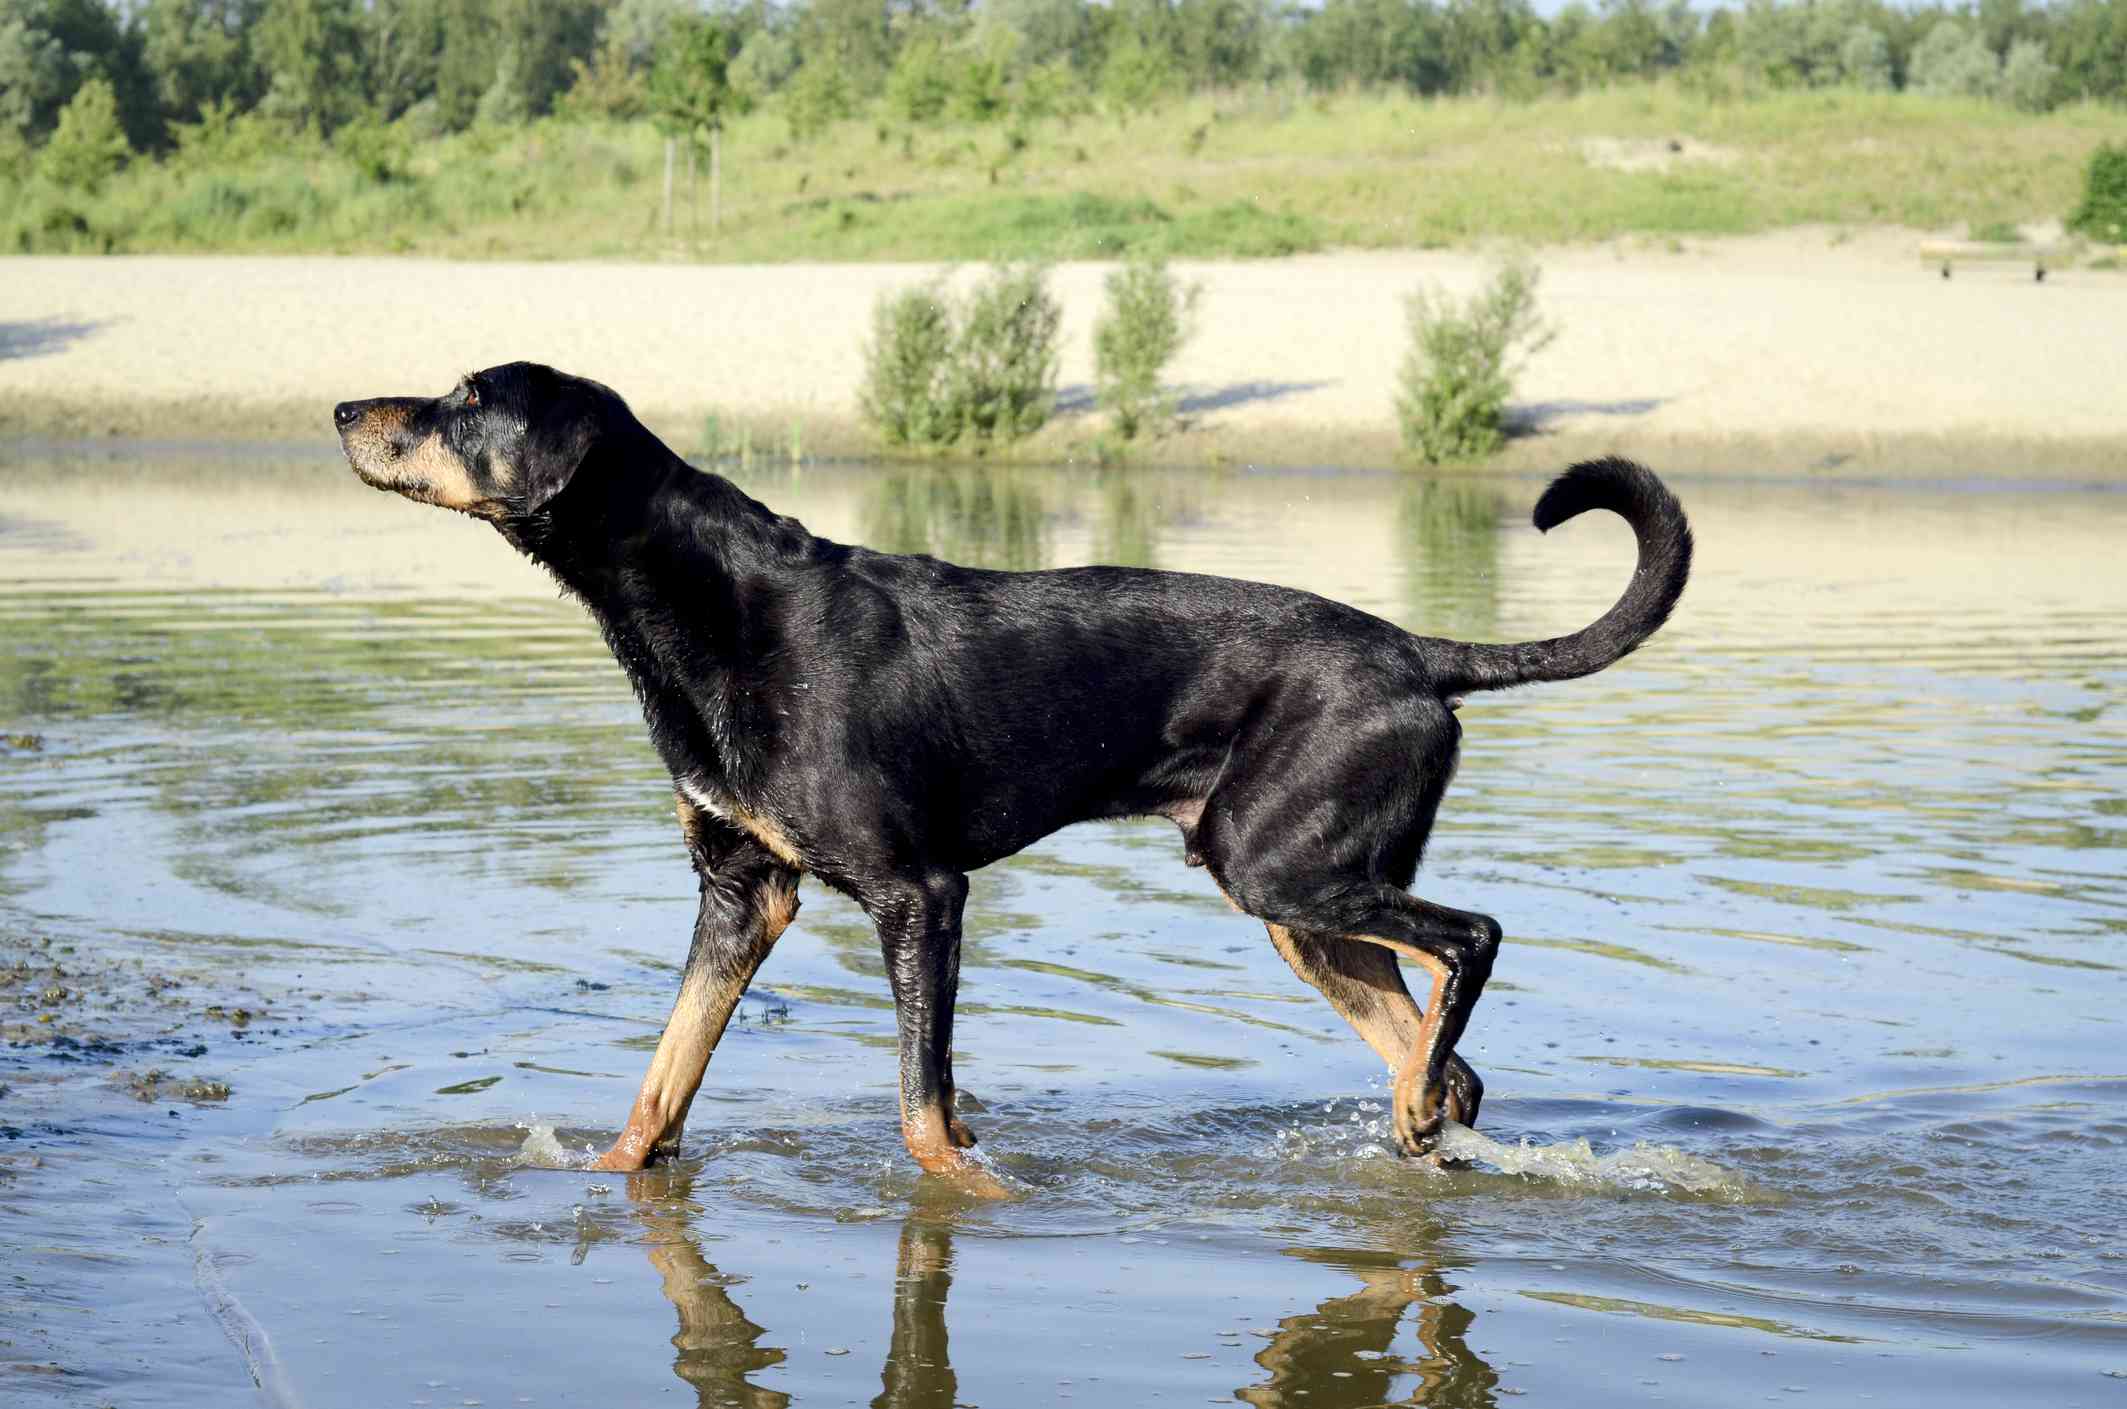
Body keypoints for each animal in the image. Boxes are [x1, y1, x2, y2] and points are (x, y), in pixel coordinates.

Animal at [336, 361, 1693, 1183]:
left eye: (467, 396)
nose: (345, 410)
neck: (704, 606)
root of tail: (1420, 651)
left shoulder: (919, 895)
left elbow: (921, 1103)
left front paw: (968, 1192)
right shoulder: (742, 894)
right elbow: (661, 1079)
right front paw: (612, 1178)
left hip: (1283, 868)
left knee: (1475, 934)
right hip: (1299, 903)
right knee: (1447, 1057)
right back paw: (1421, 1124)